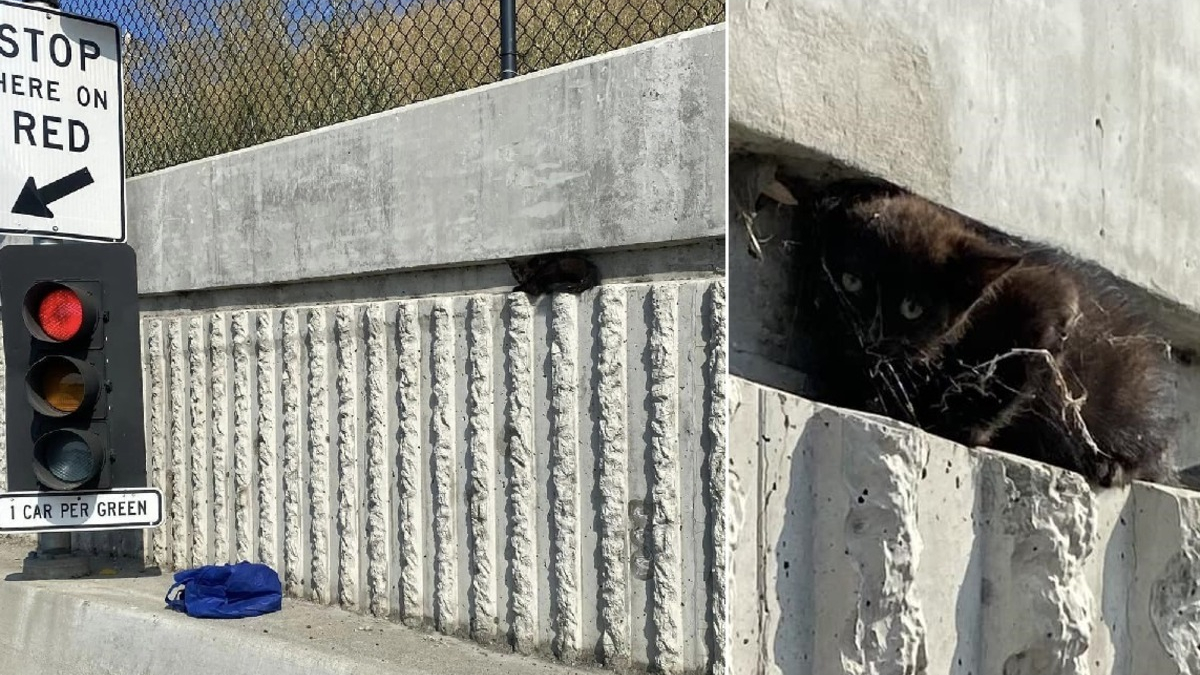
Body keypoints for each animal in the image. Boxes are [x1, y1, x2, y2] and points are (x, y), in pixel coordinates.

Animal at [792, 181, 1176, 485]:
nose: (867, 335)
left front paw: (964, 425)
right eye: (850, 282)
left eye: (912, 308)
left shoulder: (1053, 299)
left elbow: (1013, 368)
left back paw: (1113, 464)